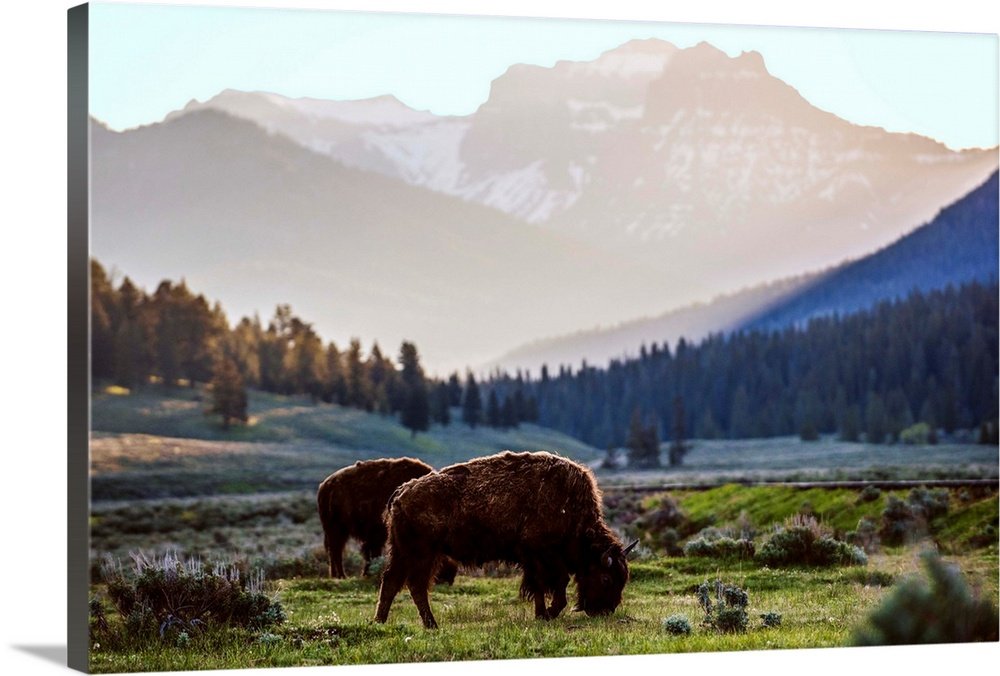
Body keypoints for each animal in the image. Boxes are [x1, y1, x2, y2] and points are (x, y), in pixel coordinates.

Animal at [317, 457, 457, 582]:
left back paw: (337, 575)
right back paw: (340, 575)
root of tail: (325, 486)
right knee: (335, 550)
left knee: (334, 550)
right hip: (336, 528)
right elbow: (372, 553)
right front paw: (368, 574)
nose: (449, 579)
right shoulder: (376, 534)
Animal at [374, 450, 637, 628]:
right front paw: (547, 614)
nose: (605, 611)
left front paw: (541, 614)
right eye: (605, 578)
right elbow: (553, 586)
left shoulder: (534, 561)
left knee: (392, 582)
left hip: (406, 553)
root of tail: (401, 492)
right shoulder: (540, 556)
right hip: (422, 554)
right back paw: (430, 625)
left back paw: (381, 622)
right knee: (414, 585)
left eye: (623, 579)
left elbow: (543, 588)